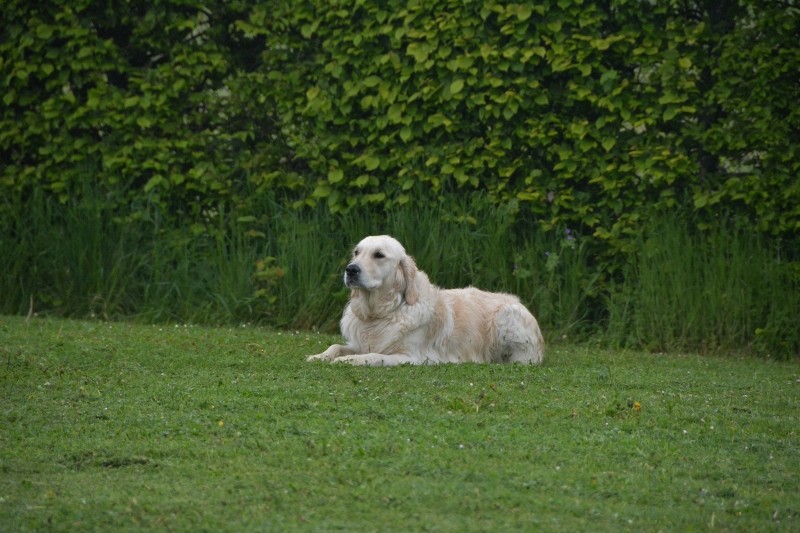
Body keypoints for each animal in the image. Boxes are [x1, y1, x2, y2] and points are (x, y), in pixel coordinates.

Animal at [306, 236, 544, 366]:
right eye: (356, 252)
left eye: (379, 255)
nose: (350, 270)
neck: (380, 313)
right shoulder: (357, 343)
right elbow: (336, 346)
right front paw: (319, 356)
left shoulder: (410, 357)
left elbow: (373, 356)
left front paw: (347, 361)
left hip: (507, 317)